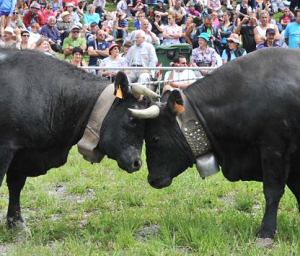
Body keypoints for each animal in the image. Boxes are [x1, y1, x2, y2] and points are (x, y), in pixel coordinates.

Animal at [0, 48, 157, 228]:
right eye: (132, 119)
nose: (137, 163)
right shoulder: (6, 148)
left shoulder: (22, 150)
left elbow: (16, 184)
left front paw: (16, 222)